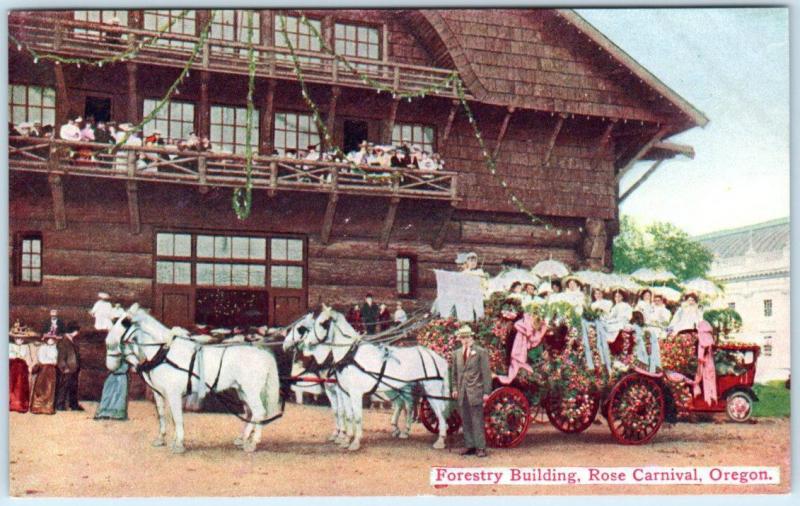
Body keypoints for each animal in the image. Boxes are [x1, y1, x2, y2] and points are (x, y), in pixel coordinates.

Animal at [104, 306, 282, 452]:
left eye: (124, 323)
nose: (110, 365)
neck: (165, 353)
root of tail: (263, 354)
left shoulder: (174, 394)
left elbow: (177, 417)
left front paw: (178, 444)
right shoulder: (160, 393)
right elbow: (164, 415)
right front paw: (163, 440)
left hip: (251, 391)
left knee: (259, 412)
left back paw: (252, 443)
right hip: (242, 390)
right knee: (250, 413)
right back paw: (243, 439)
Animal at [286, 304, 450, 450]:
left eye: (322, 323)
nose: (304, 344)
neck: (349, 356)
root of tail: (438, 357)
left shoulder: (354, 393)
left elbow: (356, 416)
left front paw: (354, 442)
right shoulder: (344, 392)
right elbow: (347, 415)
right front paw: (345, 439)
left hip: (432, 390)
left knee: (438, 411)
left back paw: (440, 440)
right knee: (408, 405)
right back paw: (405, 432)